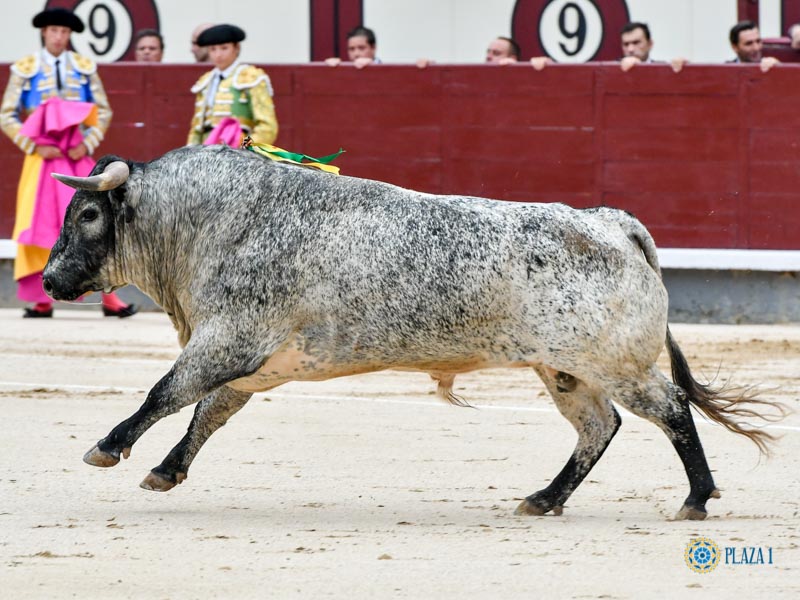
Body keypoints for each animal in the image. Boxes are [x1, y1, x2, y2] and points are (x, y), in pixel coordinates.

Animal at [45, 145, 780, 520]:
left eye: (87, 214)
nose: (50, 281)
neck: (213, 221)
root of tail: (612, 221)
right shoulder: (257, 361)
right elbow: (206, 412)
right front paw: (166, 471)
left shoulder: (227, 340)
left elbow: (165, 393)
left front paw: (108, 447)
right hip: (565, 370)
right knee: (600, 427)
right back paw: (544, 499)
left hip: (613, 363)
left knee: (670, 409)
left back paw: (695, 499)